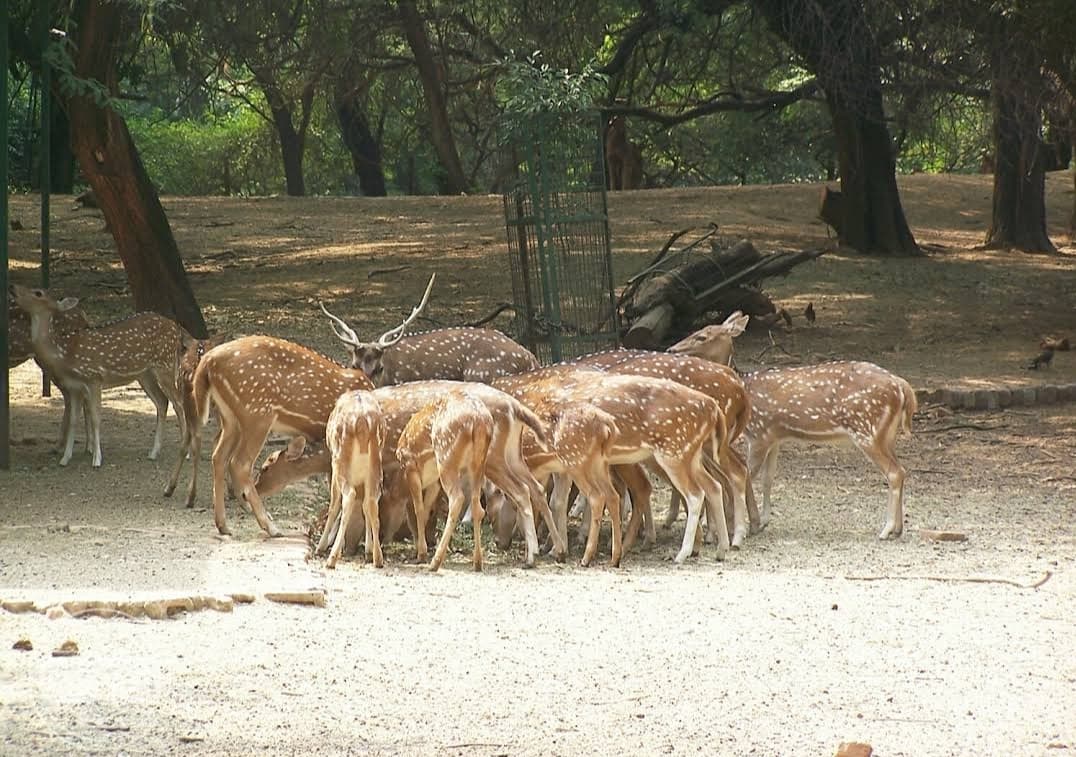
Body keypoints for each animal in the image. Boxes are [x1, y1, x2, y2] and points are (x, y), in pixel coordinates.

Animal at [10, 284, 188, 468]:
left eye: (38, 293)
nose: (12, 287)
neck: (64, 354)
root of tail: (176, 329)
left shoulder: (94, 378)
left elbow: (96, 418)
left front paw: (97, 459)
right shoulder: (74, 387)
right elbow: (73, 420)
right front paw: (65, 459)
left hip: (166, 364)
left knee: (178, 402)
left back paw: (186, 451)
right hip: (144, 375)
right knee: (162, 402)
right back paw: (153, 453)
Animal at [190, 334, 377, 538]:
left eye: (267, 468)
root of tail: (208, 360)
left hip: (230, 418)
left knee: (218, 456)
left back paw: (224, 525)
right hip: (257, 412)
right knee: (239, 462)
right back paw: (270, 526)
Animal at [742, 361, 917, 539]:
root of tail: (901, 385)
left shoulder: (759, 435)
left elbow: (747, 477)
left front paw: (752, 526)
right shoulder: (773, 438)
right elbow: (767, 479)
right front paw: (764, 521)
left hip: (867, 432)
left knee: (894, 473)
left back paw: (886, 529)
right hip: (887, 437)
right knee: (901, 470)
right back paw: (898, 529)